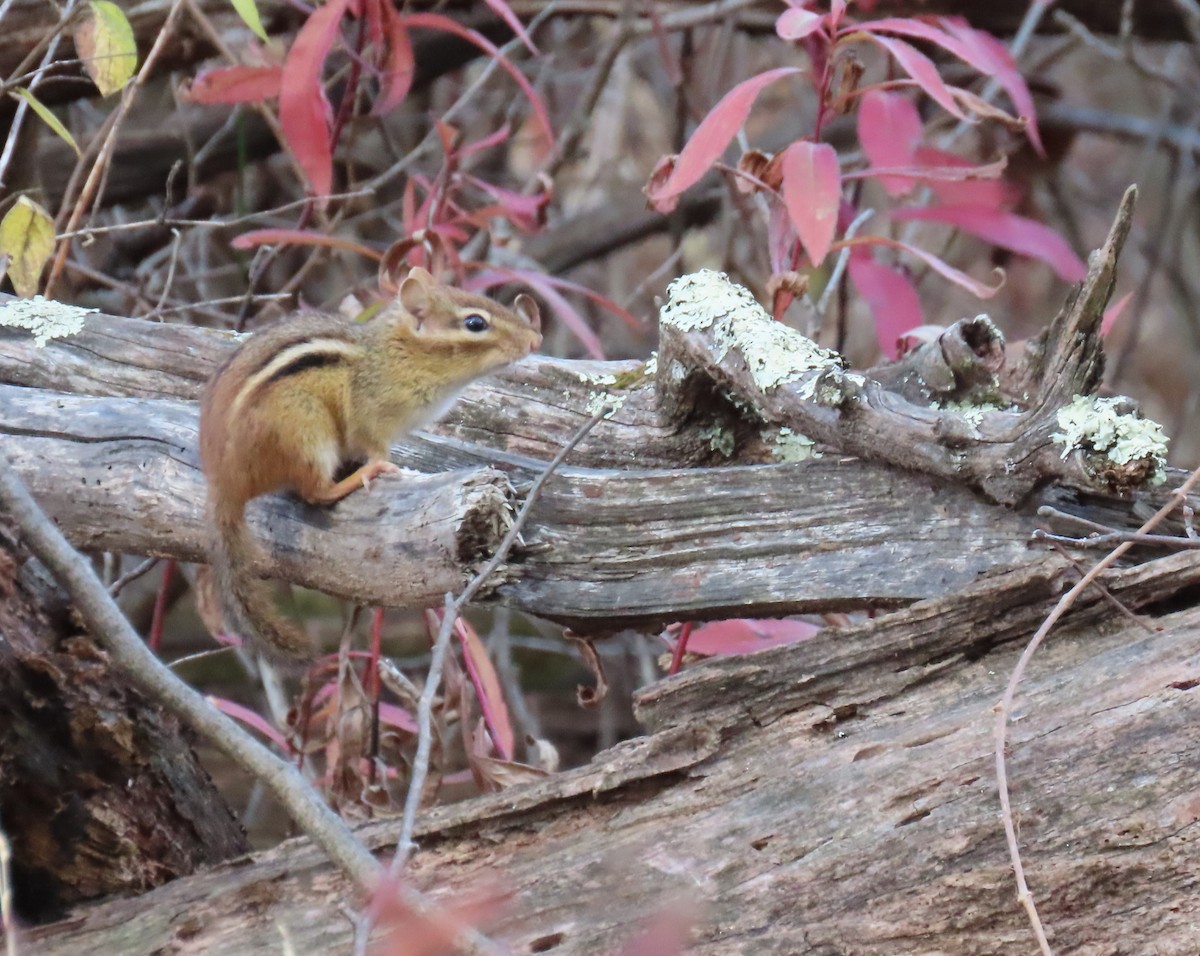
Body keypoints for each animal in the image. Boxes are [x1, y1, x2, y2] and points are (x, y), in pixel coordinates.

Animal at [198, 267, 542, 660]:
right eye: (475, 323)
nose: (536, 339)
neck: (401, 353)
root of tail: (224, 483)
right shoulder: (371, 418)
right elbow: (374, 447)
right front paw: (387, 465)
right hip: (306, 430)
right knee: (315, 492)